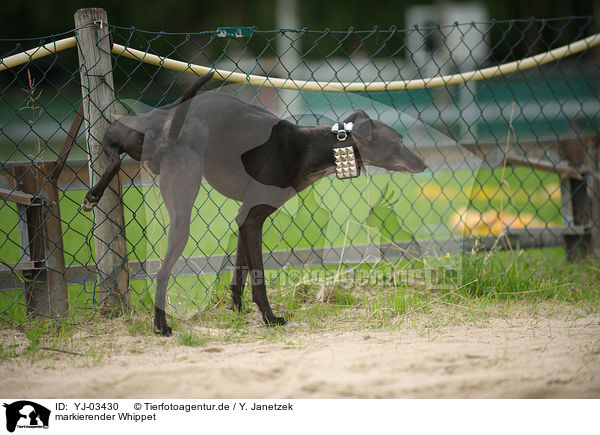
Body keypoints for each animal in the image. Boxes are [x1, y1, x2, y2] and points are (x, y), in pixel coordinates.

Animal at [82, 72, 426, 338]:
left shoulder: (244, 217)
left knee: (112, 150)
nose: (422, 163)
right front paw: (270, 319)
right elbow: (258, 276)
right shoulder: (253, 219)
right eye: (398, 141)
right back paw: (160, 325)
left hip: (128, 133)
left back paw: (93, 195)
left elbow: (239, 271)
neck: (308, 148)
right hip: (182, 212)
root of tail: (168, 125)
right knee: (162, 271)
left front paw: (236, 310)